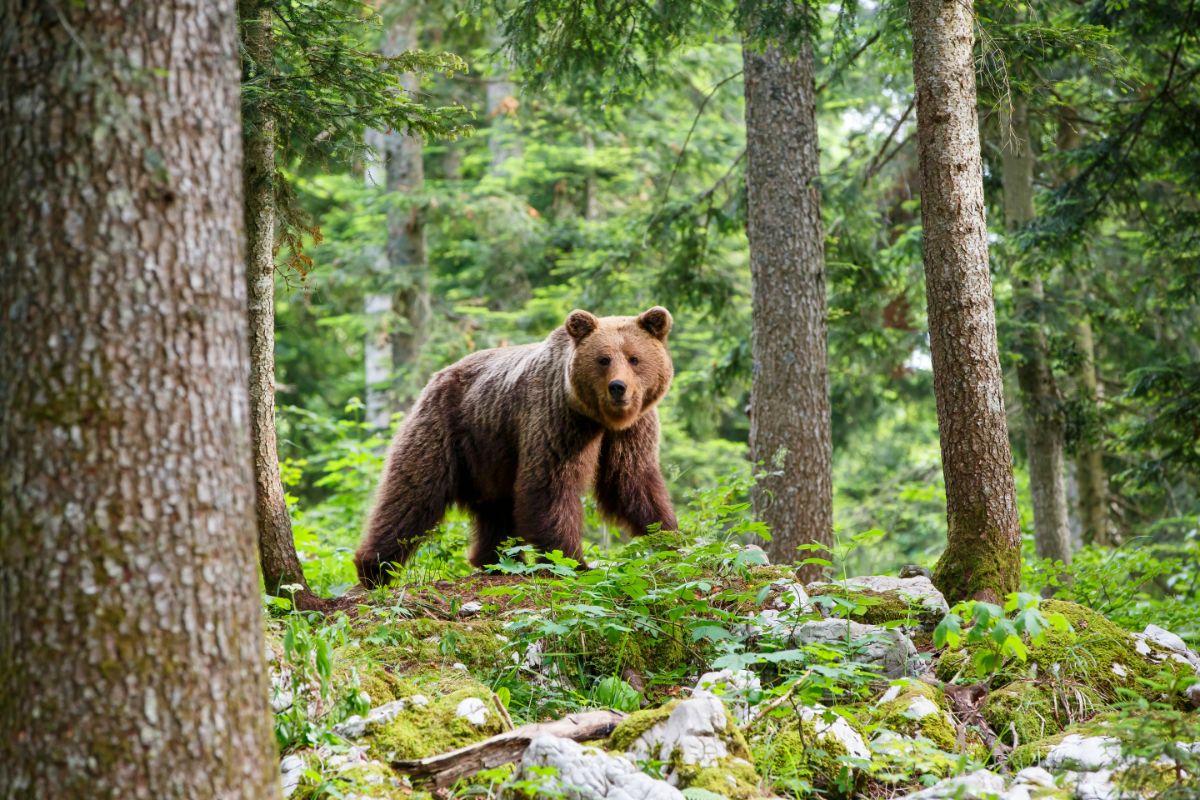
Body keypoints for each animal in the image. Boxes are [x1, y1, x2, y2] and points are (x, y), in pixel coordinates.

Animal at [350, 303, 681, 585]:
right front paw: (574, 562)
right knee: (413, 492)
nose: (618, 388)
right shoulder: (557, 419)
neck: (598, 418)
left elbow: (631, 480)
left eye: (634, 358)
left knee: (496, 509)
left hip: (490, 453)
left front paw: (670, 539)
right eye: (603, 359)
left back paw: (495, 561)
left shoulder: (632, 429)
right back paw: (375, 569)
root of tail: (437, 375)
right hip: (445, 428)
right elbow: (549, 484)